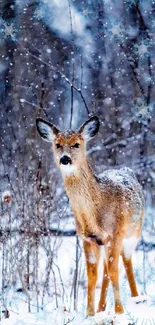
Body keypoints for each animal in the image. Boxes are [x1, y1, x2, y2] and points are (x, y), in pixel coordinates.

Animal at [36, 116, 144, 316]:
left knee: (126, 262)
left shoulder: (115, 233)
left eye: (76, 144)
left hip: (133, 233)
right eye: (57, 144)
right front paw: (89, 314)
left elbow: (114, 270)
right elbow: (92, 275)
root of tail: (127, 169)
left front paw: (119, 312)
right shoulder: (88, 238)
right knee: (106, 269)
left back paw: (136, 298)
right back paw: (102, 308)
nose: (65, 159)